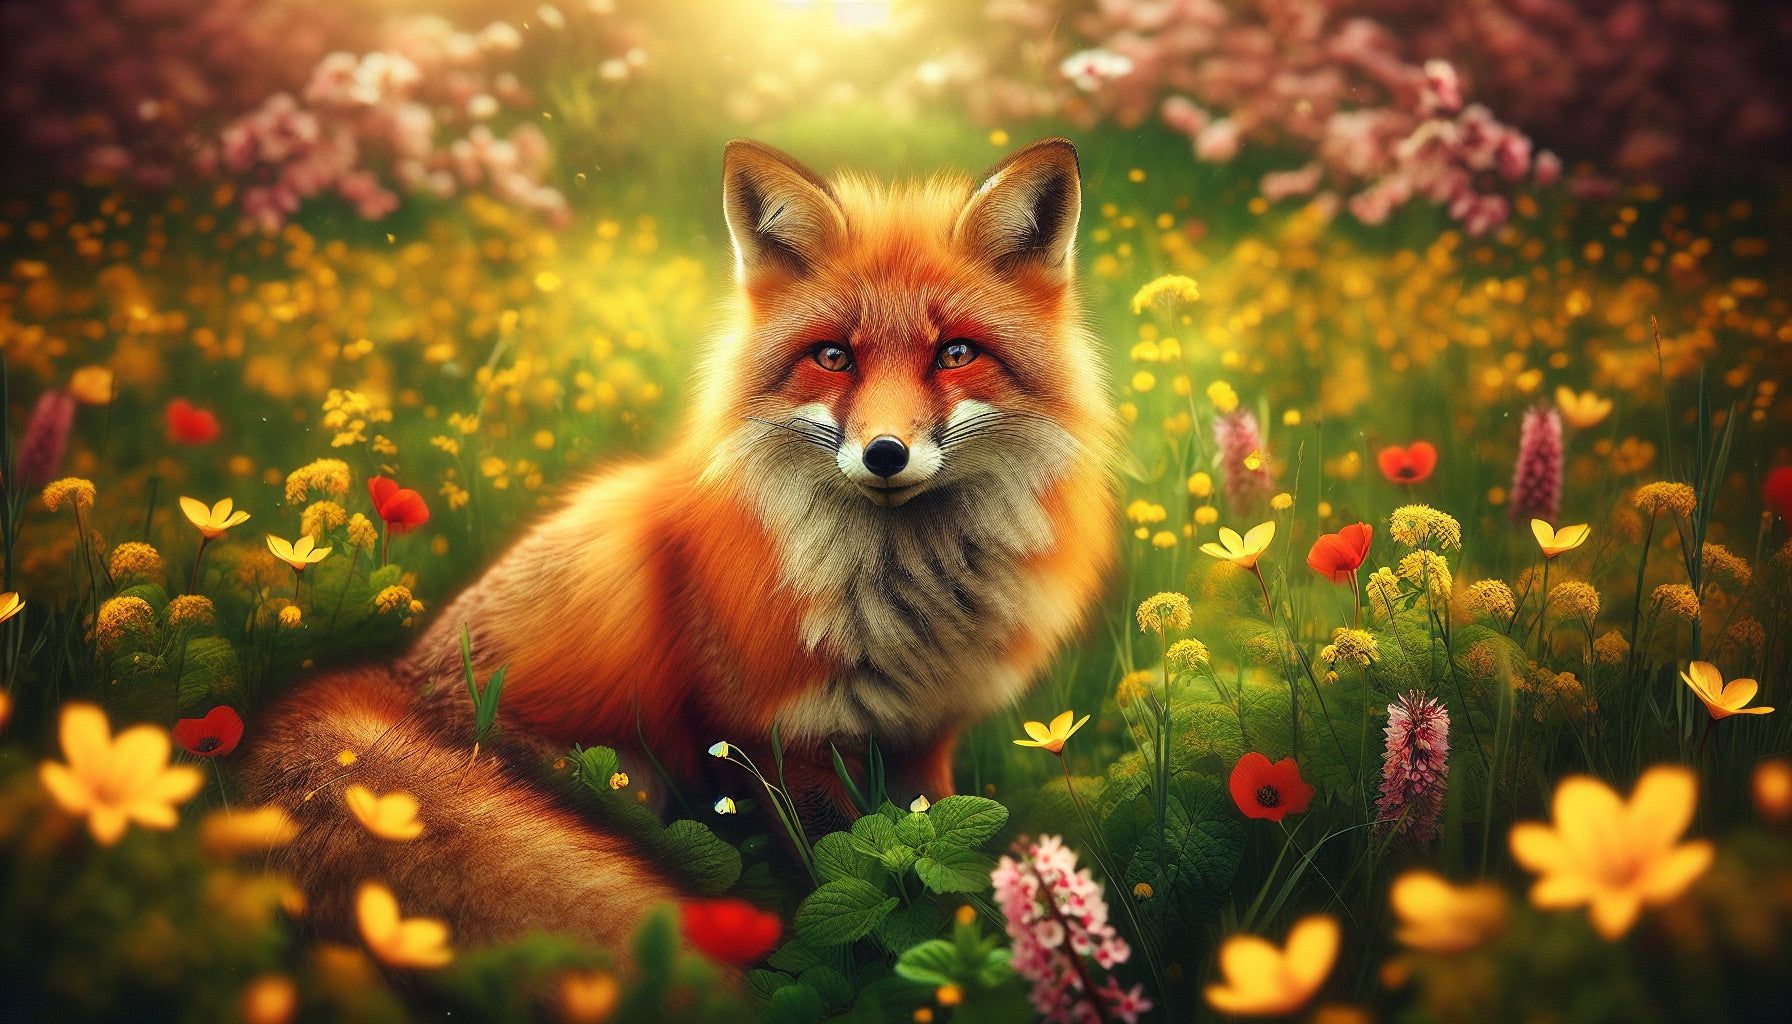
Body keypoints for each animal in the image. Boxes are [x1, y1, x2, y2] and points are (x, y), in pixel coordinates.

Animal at [238, 137, 1117, 955]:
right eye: (834, 356)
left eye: (955, 352)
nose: (885, 454)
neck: (902, 600)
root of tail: (391, 683)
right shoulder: (777, 744)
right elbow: (839, 877)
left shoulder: (923, 740)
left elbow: (917, 839)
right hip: (620, 777)